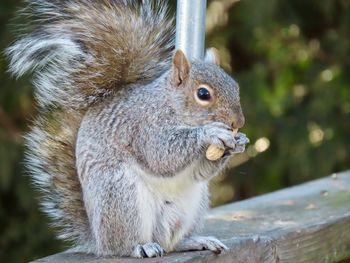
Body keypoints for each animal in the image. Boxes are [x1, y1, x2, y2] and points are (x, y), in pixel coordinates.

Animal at [4, 0, 246, 260]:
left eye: (235, 86)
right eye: (203, 94)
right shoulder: (143, 126)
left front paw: (239, 142)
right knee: (122, 245)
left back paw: (194, 241)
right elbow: (161, 156)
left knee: (170, 242)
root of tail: (97, 240)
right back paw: (141, 246)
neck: (171, 105)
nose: (238, 122)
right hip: (120, 196)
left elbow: (199, 172)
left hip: (191, 204)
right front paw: (211, 133)